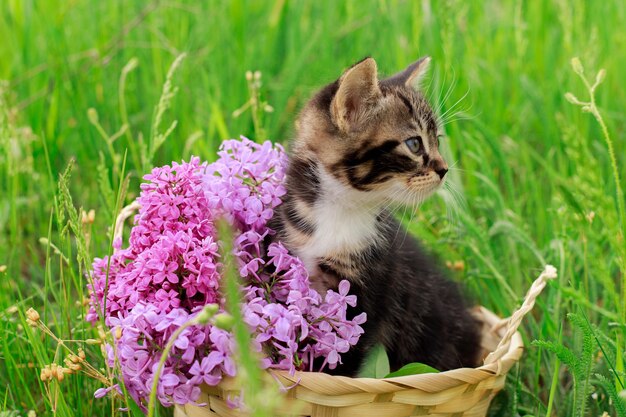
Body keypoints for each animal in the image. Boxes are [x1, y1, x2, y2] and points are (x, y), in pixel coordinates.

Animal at [270, 56, 480, 374]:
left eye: (438, 140)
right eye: (414, 144)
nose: (445, 169)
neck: (342, 208)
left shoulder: (369, 292)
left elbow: (346, 357)